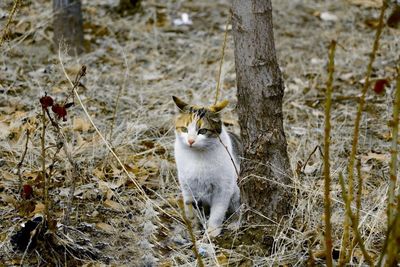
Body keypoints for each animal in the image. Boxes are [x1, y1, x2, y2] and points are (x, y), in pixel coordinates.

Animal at [172, 95, 241, 238]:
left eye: (202, 131)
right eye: (184, 129)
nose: (190, 141)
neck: (197, 156)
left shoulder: (223, 188)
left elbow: (218, 211)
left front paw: (212, 231)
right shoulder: (187, 186)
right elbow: (190, 207)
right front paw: (194, 227)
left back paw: (235, 223)